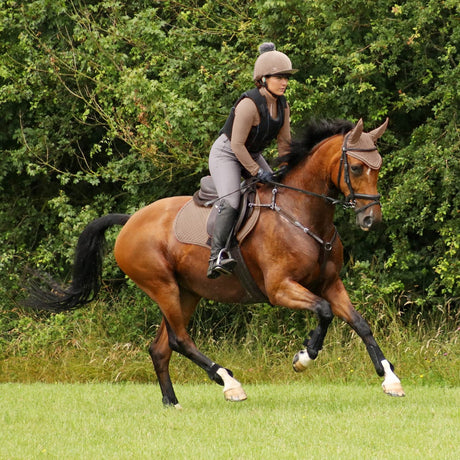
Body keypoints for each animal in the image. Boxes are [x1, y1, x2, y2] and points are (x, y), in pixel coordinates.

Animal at [27, 117, 404, 406]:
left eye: (379, 168)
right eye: (356, 167)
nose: (371, 220)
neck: (302, 213)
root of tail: (132, 219)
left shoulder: (330, 283)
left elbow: (361, 324)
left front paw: (390, 378)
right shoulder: (281, 288)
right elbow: (324, 313)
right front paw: (303, 358)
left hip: (186, 292)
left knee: (160, 347)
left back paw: (172, 403)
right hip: (162, 286)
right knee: (179, 340)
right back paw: (229, 383)